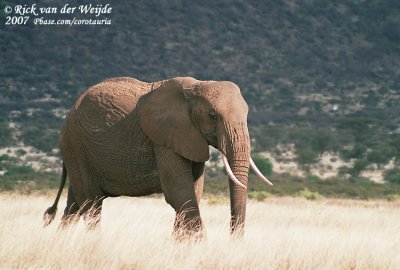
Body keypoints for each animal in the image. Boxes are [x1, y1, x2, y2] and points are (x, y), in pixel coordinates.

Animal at [43, 76, 272, 236]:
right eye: (213, 116)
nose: (233, 241)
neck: (194, 89)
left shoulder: (189, 137)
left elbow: (193, 192)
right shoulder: (163, 138)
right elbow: (179, 192)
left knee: (74, 204)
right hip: (75, 145)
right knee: (91, 203)